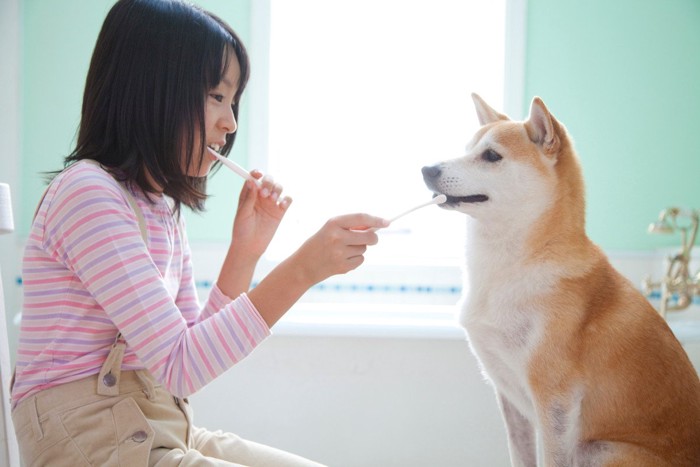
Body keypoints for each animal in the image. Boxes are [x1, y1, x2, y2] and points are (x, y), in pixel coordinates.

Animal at [422, 93, 700, 466]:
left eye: (491, 156)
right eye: (466, 149)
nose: (427, 169)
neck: (512, 267)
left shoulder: (555, 399)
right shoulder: (509, 397)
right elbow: (521, 455)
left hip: (601, 450)